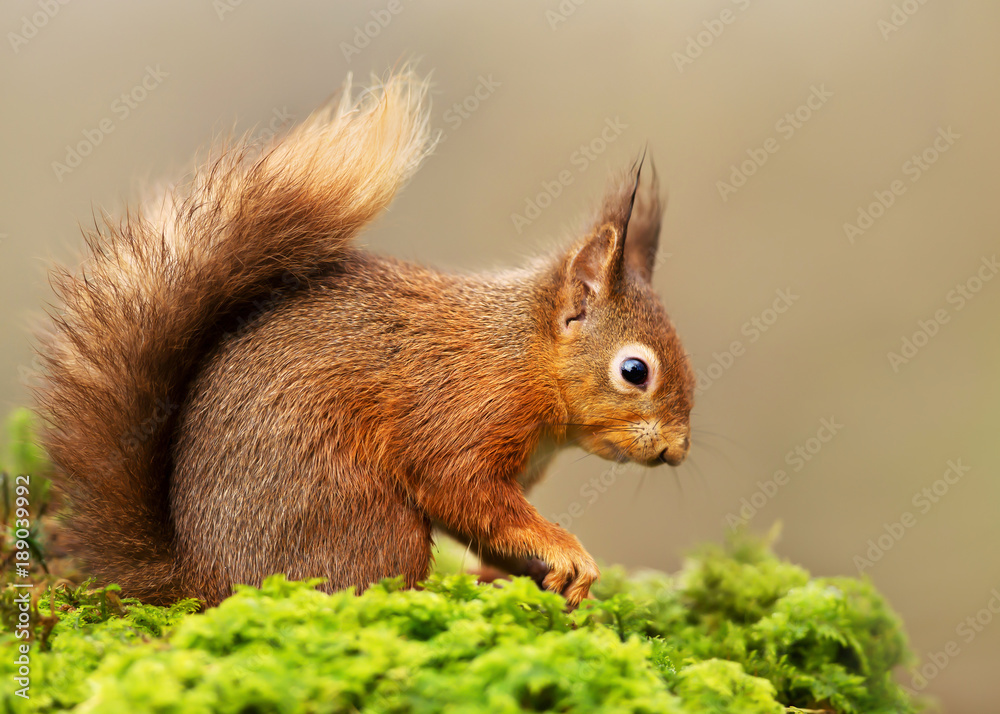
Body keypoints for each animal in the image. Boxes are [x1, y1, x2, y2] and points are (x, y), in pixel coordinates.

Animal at [35, 70, 694, 608]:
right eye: (635, 371)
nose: (676, 451)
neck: (521, 353)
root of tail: (199, 580)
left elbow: (483, 529)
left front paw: (533, 574)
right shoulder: (464, 414)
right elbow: (461, 490)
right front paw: (565, 550)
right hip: (361, 513)